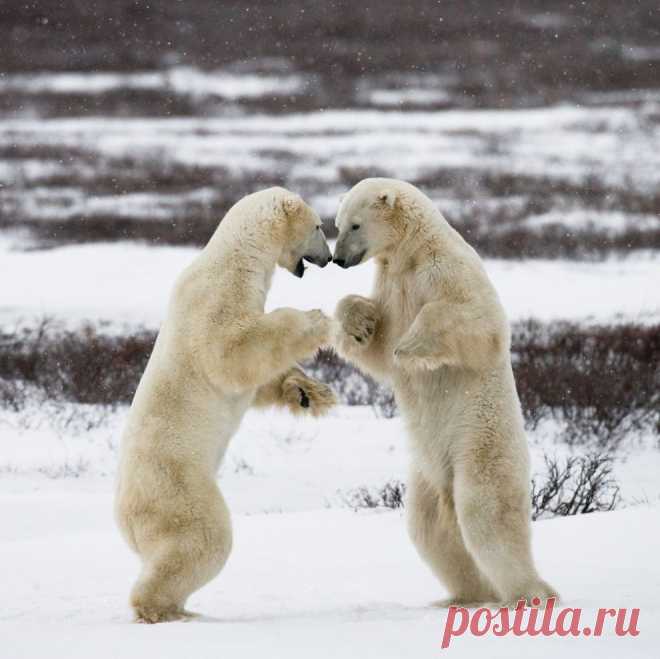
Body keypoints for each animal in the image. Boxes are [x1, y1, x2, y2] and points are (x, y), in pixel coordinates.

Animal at [114, 187, 338, 624]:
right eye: (320, 226)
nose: (330, 257)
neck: (237, 257)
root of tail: (125, 518)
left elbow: (259, 378)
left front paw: (310, 393)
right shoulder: (218, 300)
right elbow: (232, 353)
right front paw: (318, 319)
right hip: (177, 487)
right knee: (202, 539)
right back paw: (164, 609)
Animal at [332, 178, 556, 604]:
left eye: (354, 225)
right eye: (336, 225)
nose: (337, 260)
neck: (410, 253)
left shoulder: (446, 270)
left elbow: (479, 321)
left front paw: (411, 345)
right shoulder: (391, 282)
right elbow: (378, 350)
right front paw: (360, 322)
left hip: (479, 440)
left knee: (485, 511)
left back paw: (530, 593)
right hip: (425, 468)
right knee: (429, 527)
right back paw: (467, 594)